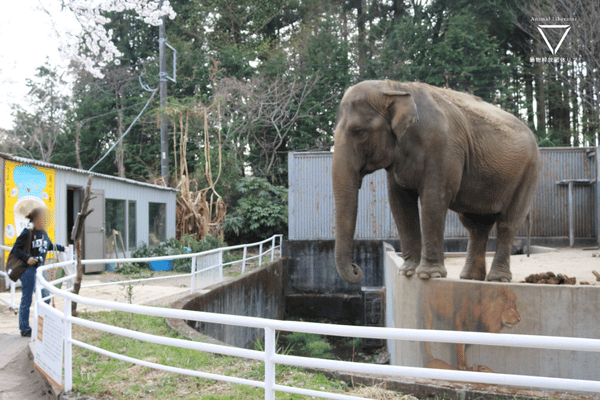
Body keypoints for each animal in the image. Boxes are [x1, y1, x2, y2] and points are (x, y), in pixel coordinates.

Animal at [330, 79, 540, 282]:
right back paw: (470, 277)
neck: (394, 87)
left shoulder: (443, 146)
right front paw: (407, 272)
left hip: (528, 172)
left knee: (508, 222)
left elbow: (433, 199)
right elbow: (399, 203)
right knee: (475, 225)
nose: (356, 268)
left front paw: (428, 275)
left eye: (359, 132)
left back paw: (497, 279)